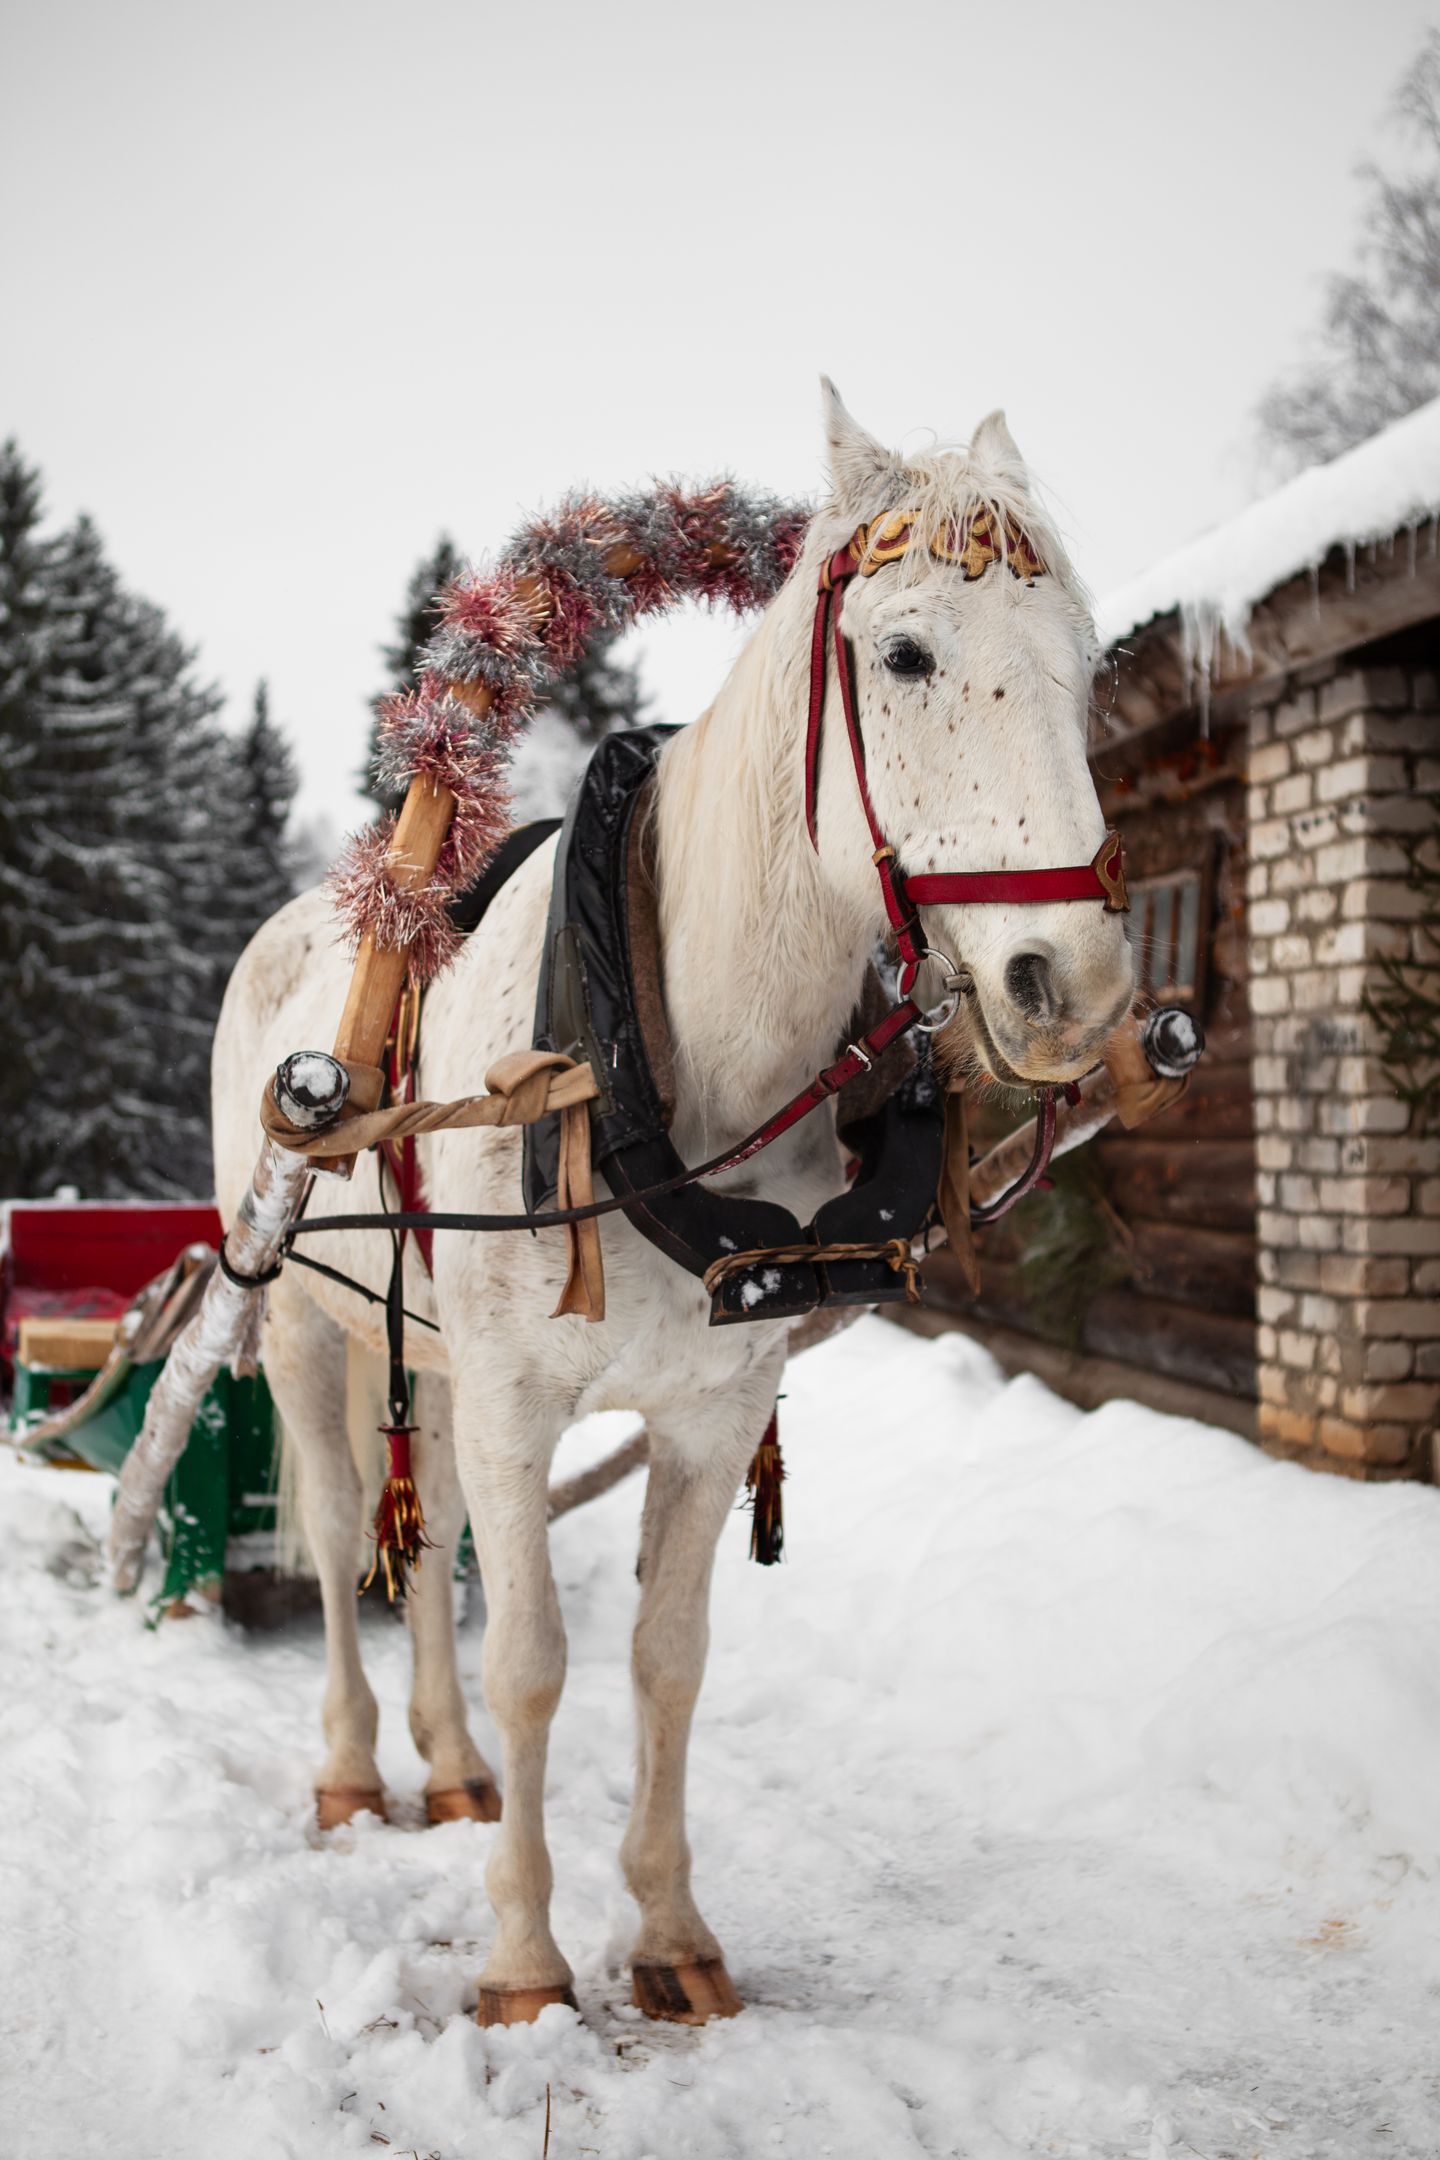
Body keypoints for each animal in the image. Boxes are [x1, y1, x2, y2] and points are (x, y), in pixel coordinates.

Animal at [211, 383, 1135, 2027]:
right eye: (905, 654)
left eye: (1082, 656)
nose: (1072, 986)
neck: (659, 1057)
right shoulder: (520, 1401)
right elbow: (532, 1659)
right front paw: (524, 1960)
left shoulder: (708, 1411)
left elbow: (666, 1656)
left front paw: (668, 1933)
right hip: (314, 1329)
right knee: (330, 1533)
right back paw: (354, 1770)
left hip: (430, 1357)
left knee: (424, 1531)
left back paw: (450, 1771)